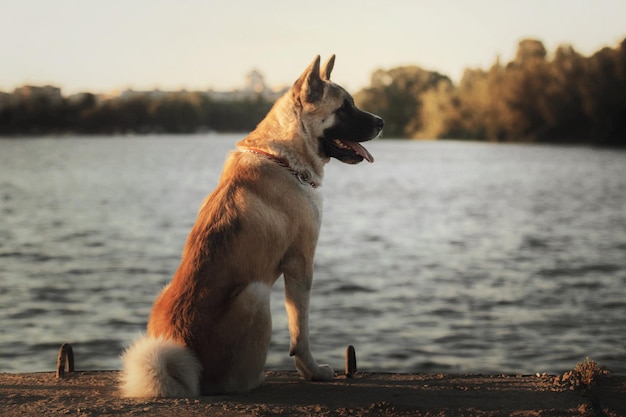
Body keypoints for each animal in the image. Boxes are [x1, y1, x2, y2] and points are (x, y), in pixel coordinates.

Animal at [117, 55, 380, 396]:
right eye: (344, 108)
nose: (381, 122)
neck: (283, 157)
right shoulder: (301, 265)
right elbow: (301, 331)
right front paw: (312, 371)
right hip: (256, 293)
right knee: (237, 381)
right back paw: (257, 378)